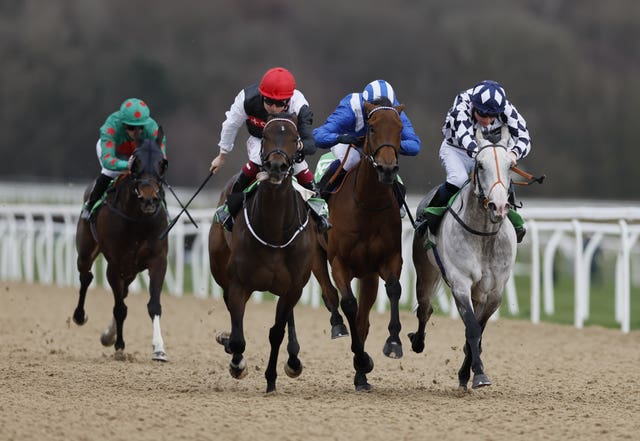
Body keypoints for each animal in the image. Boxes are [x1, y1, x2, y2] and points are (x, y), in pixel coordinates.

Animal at [73, 127, 169, 360]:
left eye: (162, 162)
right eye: (135, 161)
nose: (149, 199)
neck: (138, 221)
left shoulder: (158, 260)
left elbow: (154, 305)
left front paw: (159, 348)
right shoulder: (115, 265)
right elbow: (120, 308)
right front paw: (119, 345)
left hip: (131, 270)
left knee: (122, 292)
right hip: (86, 251)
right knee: (86, 277)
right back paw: (80, 316)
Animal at [209, 112, 316, 392]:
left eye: (295, 137)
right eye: (266, 135)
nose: (277, 166)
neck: (274, 231)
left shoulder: (293, 287)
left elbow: (276, 332)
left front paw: (271, 379)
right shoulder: (238, 283)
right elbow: (238, 336)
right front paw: (236, 361)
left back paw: (293, 359)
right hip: (220, 270)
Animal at [312, 99, 408, 388]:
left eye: (400, 129)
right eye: (372, 127)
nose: (387, 169)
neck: (367, 203)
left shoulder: (388, 260)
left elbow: (394, 290)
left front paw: (393, 343)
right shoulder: (339, 263)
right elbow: (348, 304)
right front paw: (361, 357)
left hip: (368, 276)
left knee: (364, 319)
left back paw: (361, 377)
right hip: (315, 255)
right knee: (330, 295)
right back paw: (338, 326)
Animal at [410, 129, 520, 390]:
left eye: (510, 165)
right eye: (480, 165)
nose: (499, 206)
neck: (484, 236)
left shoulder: (494, 292)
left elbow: (478, 329)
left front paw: (468, 372)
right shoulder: (460, 283)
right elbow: (472, 328)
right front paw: (478, 374)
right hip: (426, 270)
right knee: (425, 308)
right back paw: (416, 341)